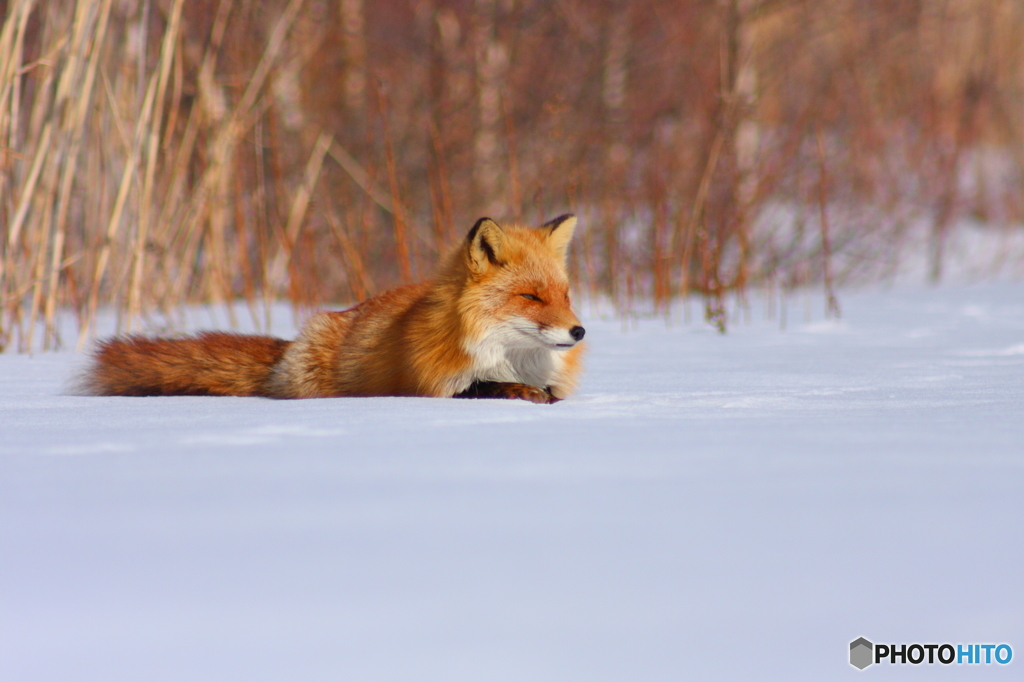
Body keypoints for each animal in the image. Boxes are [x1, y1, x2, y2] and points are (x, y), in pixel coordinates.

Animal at [81, 215, 585, 401]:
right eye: (530, 297)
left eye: (564, 296)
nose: (579, 332)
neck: (511, 360)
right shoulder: (435, 386)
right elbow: (490, 387)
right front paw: (523, 393)